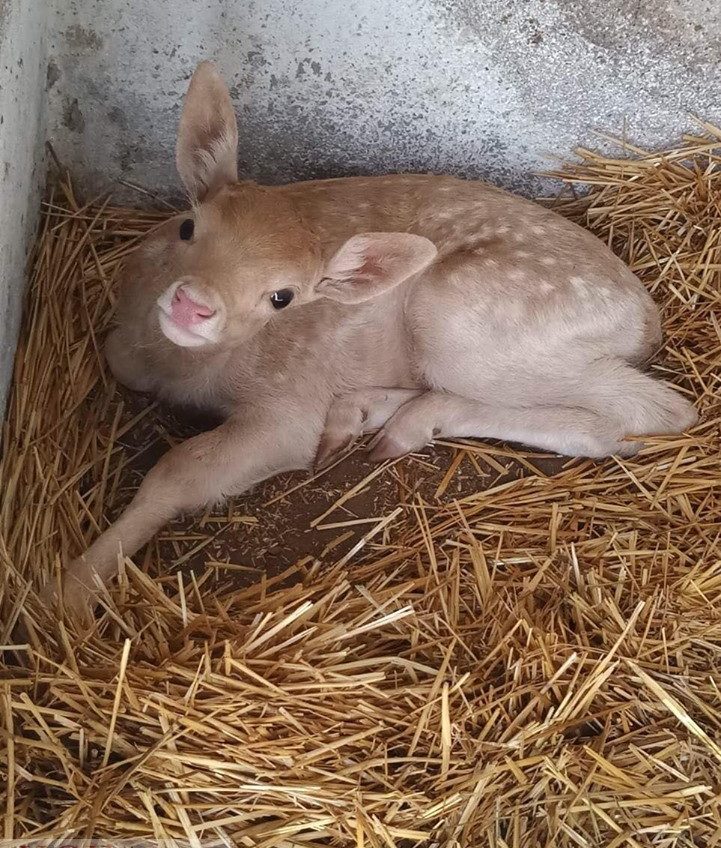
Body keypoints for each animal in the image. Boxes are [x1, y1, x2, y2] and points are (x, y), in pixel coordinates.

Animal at [43, 59, 692, 616]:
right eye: (188, 227)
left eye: (283, 296)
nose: (192, 305)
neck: (187, 368)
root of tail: (645, 316)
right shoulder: (130, 340)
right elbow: (119, 359)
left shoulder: (286, 409)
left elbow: (179, 471)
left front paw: (70, 592)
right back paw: (365, 413)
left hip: (464, 319)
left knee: (646, 413)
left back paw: (409, 423)